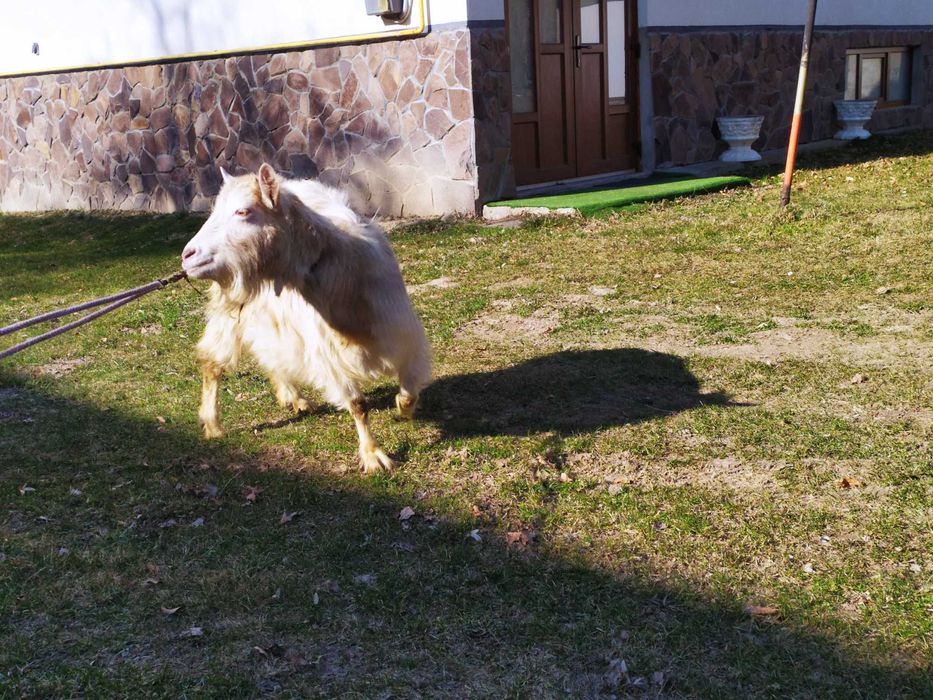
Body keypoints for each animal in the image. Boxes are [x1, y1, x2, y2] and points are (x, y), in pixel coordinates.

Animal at [180, 164, 431, 472]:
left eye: (243, 211)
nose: (188, 255)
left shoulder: (406, 338)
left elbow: (409, 391)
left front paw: (404, 410)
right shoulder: (328, 353)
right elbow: (358, 405)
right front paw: (373, 456)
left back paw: (294, 398)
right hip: (230, 311)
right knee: (213, 363)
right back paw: (214, 423)